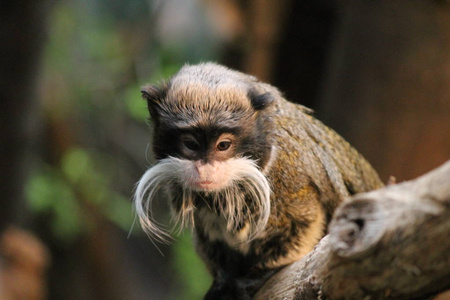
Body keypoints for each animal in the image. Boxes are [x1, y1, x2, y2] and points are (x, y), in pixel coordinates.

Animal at [134, 62, 384, 298]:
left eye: (223, 145)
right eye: (191, 144)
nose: (205, 170)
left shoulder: (288, 173)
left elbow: (305, 225)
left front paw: (255, 276)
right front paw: (223, 280)